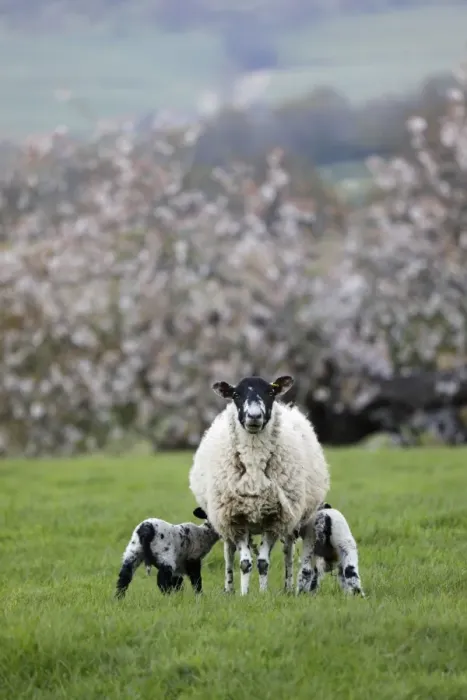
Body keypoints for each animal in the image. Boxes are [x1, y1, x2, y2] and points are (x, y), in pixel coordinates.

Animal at [189, 374, 330, 595]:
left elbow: (263, 562)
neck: (254, 464)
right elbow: (245, 563)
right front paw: (244, 595)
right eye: (236, 394)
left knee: (287, 550)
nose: (254, 416)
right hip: (225, 521)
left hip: (291, 521)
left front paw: (263, 595)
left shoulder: (274, 519)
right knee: (229, 552)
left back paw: (288, 587)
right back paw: (229, 588)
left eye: (270, 392)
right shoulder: (236, 518)